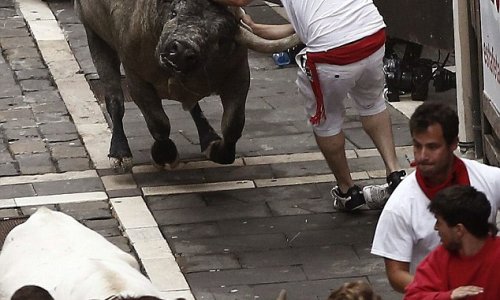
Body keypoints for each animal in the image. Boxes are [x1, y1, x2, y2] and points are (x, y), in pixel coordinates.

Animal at [76, 0, 298, 171]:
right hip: (95, 37)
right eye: (174, 13)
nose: (180, 51)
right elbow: (158, 122)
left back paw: (208, 137)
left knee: (193, 106)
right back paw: (120, 152)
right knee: (115, 99)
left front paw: (218, 150)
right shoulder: (136, 79)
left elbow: (233, 124)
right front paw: (165, 154)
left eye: (220, 36)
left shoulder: (238, 75)